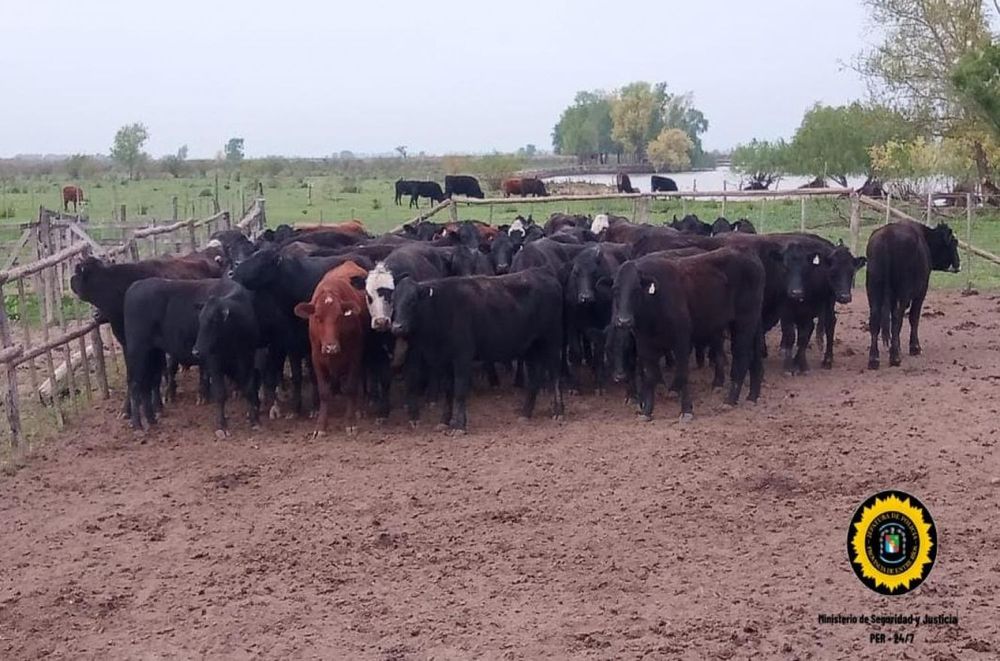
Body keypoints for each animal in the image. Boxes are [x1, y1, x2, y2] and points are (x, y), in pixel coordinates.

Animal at [191, 279, 261, 436]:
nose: (196, 351)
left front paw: (254, 419)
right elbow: (220, 393)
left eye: (213, 321)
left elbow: (249, 388)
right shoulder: (215, 363)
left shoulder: (247, 358)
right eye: (200, 320)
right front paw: (222, 425)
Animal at [293, 261, 370, 435]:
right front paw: (321, 426)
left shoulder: (355, 355)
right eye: (317, 317)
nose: (331, 347)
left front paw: (350, 422)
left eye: (339, 317)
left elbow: (351, 388)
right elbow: (324, 392)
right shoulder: (316, 358)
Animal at [389, 268, 565, 432]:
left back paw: (558, 411)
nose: (397, 327)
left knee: (555, 374)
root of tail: (543, 273)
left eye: (412, 301)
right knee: (535, 376)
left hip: (552, 341)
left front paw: (459, 425)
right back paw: (526, 413)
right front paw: (444, 421)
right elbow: (448, 390)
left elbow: (460, 390)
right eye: (393, 301)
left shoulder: (462, 356)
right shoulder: (445, 360)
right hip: (532, 348)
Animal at [610, 248, 765, 421]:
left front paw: (686, 410)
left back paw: (730, 400)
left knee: (742, 357)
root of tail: (747, 253)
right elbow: (650, 375)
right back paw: (752, 396)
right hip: (752, 322)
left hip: (744, 322)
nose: (623, 321)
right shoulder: (644, 343)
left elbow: (683, 373)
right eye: (615, 290)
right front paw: (646, 412)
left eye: (636, 290)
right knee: (755, 357)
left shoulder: (682, 341)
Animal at [865, 221, 960, 370]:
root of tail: (887, 235)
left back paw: (874, 359)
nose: (958, 263)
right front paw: (915, 347)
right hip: (903, 292)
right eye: (954, 243)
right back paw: (895, 357)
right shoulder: (921, 292)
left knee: (875, 320)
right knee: (897, 319)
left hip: (873, 290)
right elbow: (914, 317)